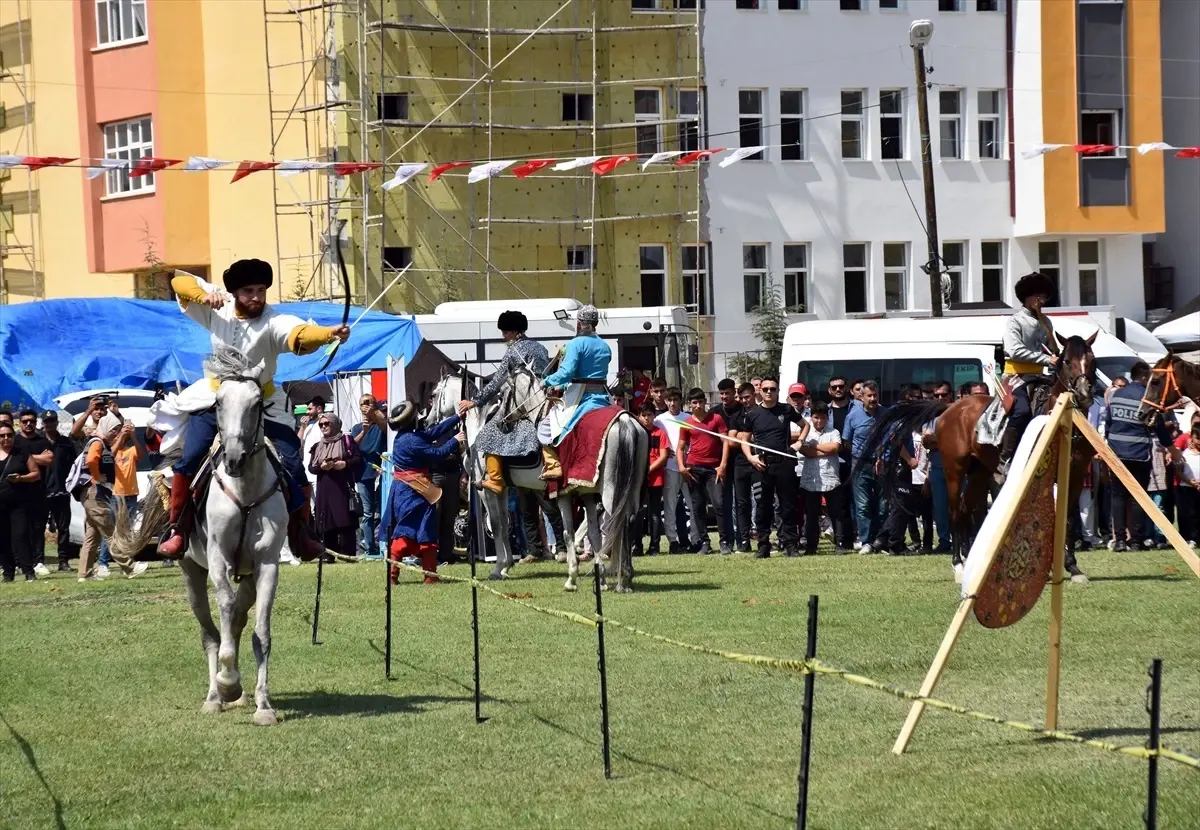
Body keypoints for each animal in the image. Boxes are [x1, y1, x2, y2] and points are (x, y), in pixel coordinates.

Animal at [112, 347, 285, 724]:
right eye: (218, 402)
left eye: (256, 404)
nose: (233, 459)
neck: (245, 489)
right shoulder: (218, 559)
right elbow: (223, 616)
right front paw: (227, 681)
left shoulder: (267, 564)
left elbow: (261, 633)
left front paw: (264, 705)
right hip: (192, 572)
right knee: (211, 634)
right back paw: (216, 695)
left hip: (248, 576)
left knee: (237, 622)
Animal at [429, 367, 648, 592]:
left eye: (435, 394)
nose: (428, 421)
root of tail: (625, 421)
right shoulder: (503, 488)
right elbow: (504, 524)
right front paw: (507, 565)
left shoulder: (486, 490)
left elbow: (497, 525)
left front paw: (498, 568)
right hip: (627, 490)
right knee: (625, 520)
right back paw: (621, 574)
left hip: (610, 491)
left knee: (615, 522)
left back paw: (617, 577)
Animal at [854, 331, 1099, 582]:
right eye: (1067, 361)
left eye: (1092, 360)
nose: (1083, 394)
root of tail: (950, 408)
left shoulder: (1076, 474)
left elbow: (1068, 517)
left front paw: (1072, 567)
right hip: (954, 470)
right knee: (954, 512)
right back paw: (958, 565)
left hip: (979, 472)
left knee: (965, 509)